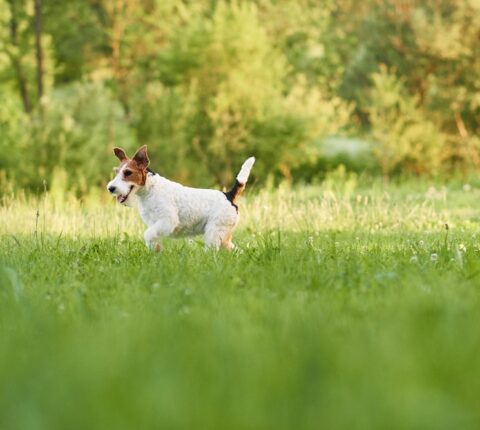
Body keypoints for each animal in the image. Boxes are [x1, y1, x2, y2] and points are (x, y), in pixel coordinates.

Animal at [106, 145, 255, 250]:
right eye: (116, 172)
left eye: (128, 172)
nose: (111, 188)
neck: (149, 190)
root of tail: (228, 195)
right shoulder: (154, 224)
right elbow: (152, 238)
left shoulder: (167, 220)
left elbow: (147, 234)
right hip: (223, 237)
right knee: (236, 250)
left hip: (214, 232)